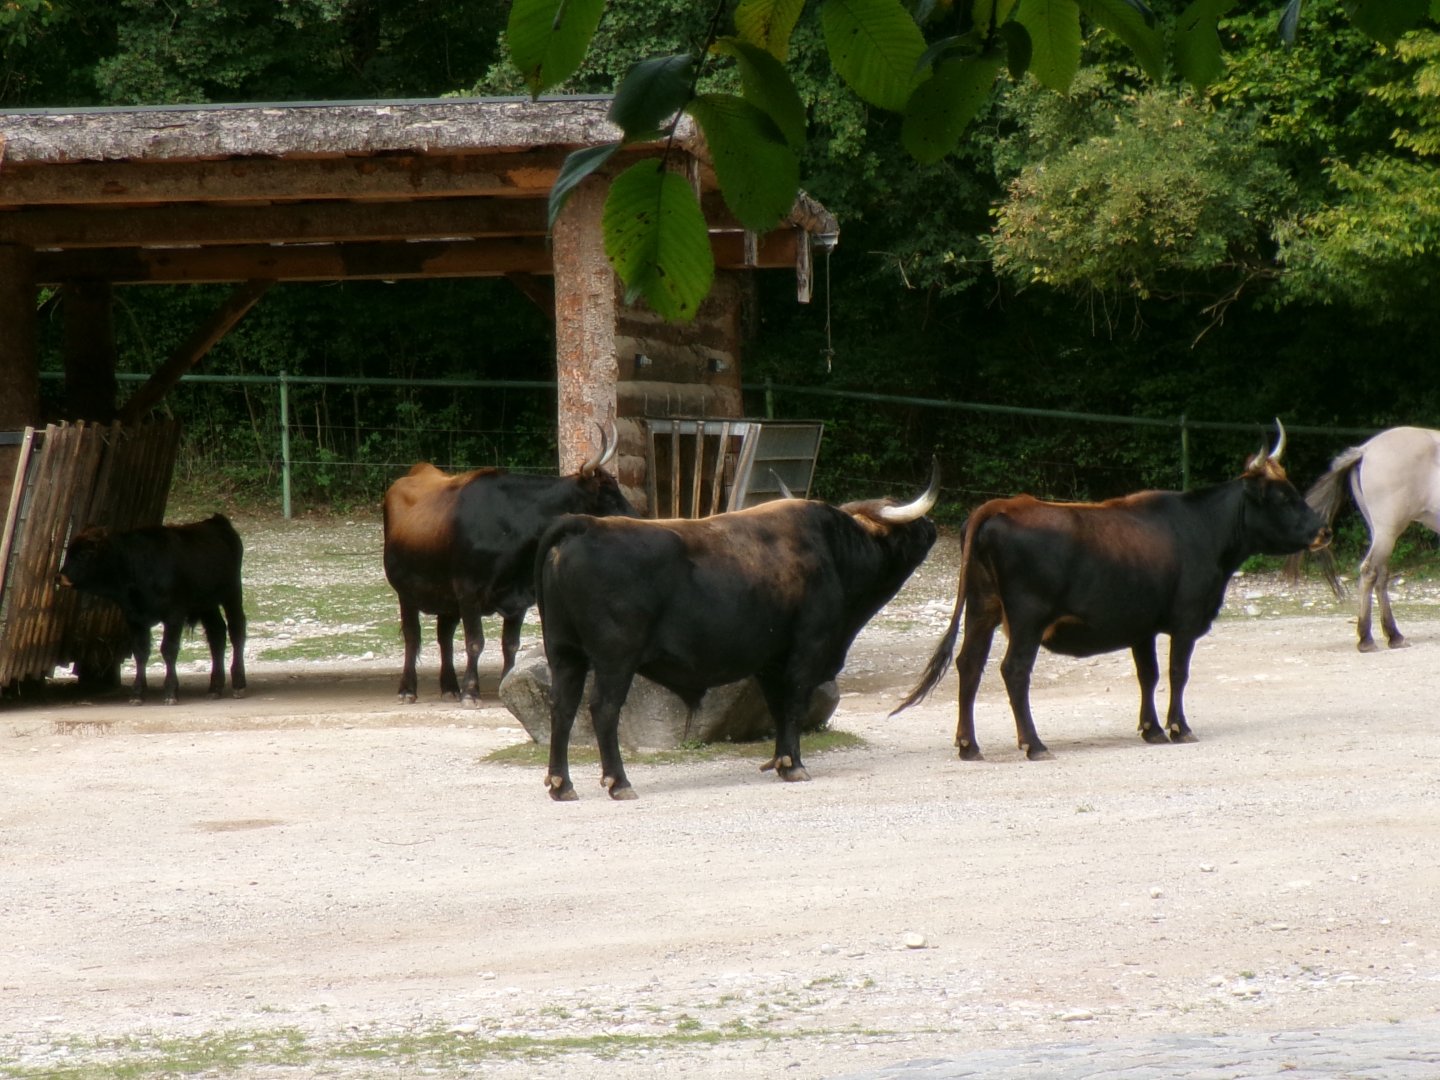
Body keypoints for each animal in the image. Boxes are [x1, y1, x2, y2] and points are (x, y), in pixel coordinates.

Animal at [57, 513, 247, 706]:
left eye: (84, 554)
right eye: (69, 551)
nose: (60, 576)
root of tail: (216, 521)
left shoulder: (174, 615)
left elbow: (168, 649)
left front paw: (170, 692)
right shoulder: (134, 618)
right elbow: (140, 652)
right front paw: (137, 693)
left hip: (232, 594)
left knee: (236, 631)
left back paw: (239, 684)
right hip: (207, 605)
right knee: (217, 635)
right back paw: (215, 687)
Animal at [381, 425, 637, 705]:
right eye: (607, 496)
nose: (637, 519)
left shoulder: (519, 598)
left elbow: (510, 644)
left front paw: (505, 685)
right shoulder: (468, 592)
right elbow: (474, 642)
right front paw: (471, 691)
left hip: (446, 598)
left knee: (444, 636)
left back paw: (449, 686)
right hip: (406, 593)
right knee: (412, 637)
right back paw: (408, 689)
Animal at [533, 464, 942, 800]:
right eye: (912, 525)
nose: (933, 528)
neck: (834, 550)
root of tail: (584, 524)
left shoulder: (770, 661)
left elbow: (778, 708)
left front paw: (780, 761)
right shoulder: (807, 649)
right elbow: (794, 703)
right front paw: (794, 765)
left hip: (564, 652)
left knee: (562, 707)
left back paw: (561, 784)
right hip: (615, 659)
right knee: (603, 709)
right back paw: (619, 782)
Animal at [893, 422, 1331, 761]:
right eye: (1283, 497)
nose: (1324, 530)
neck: (1202, 528)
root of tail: (1001, 506)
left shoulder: (1142, 626)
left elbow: (1147, 674)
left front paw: (1151, 729)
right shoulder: (1185, 622)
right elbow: (1177, 672)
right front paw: (1179, 727)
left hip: (982, 608)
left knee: (969, 665)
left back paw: (969, 745)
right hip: (1027, 618)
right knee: (1014, 670)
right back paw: (1034, 744)